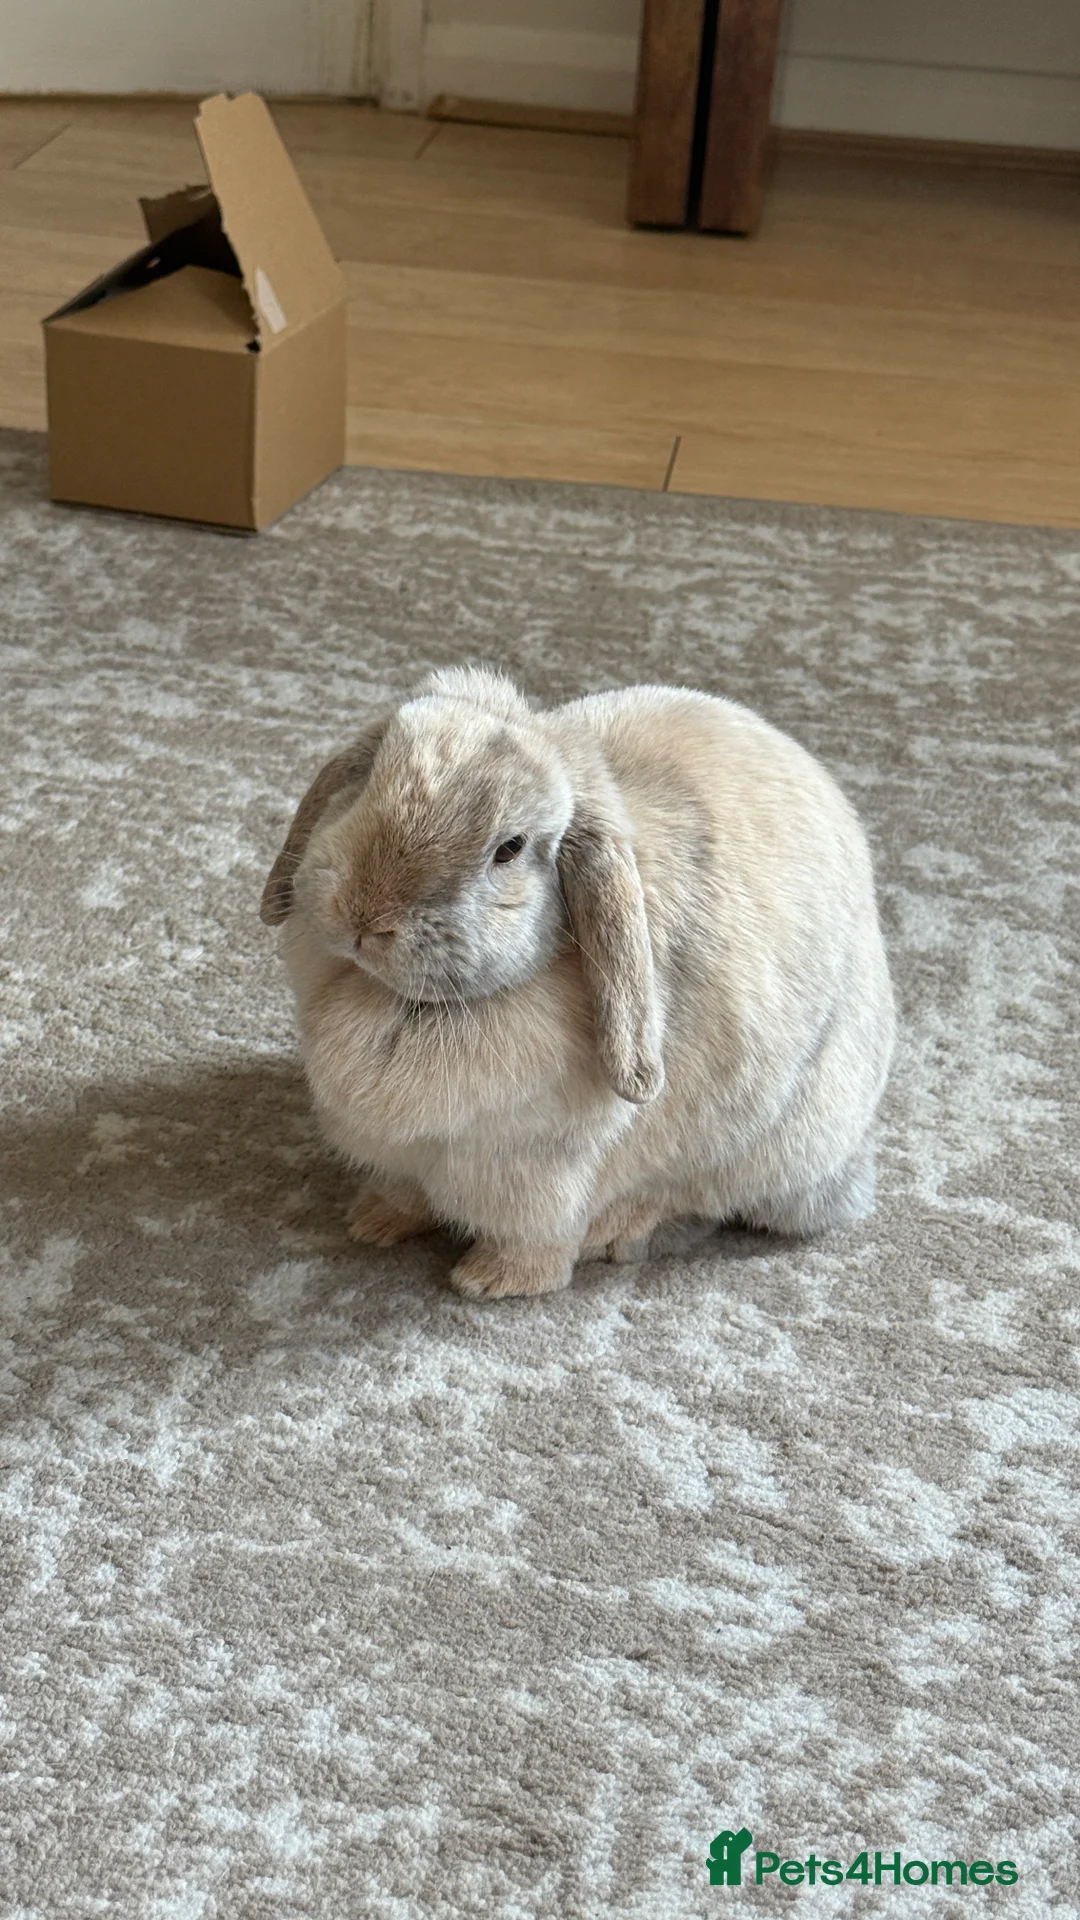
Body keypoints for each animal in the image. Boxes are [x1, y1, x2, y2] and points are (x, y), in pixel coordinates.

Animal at [261, 666, 895, 1299]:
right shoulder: (402, 1157)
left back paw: (618, 1231)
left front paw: (492, 1281)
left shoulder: (541, 1173)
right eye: (370, 782)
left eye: (510, 848)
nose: (365, 917)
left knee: (698, 1200)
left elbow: (538, 1240)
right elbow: (404, 1192)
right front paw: (372, 1221)